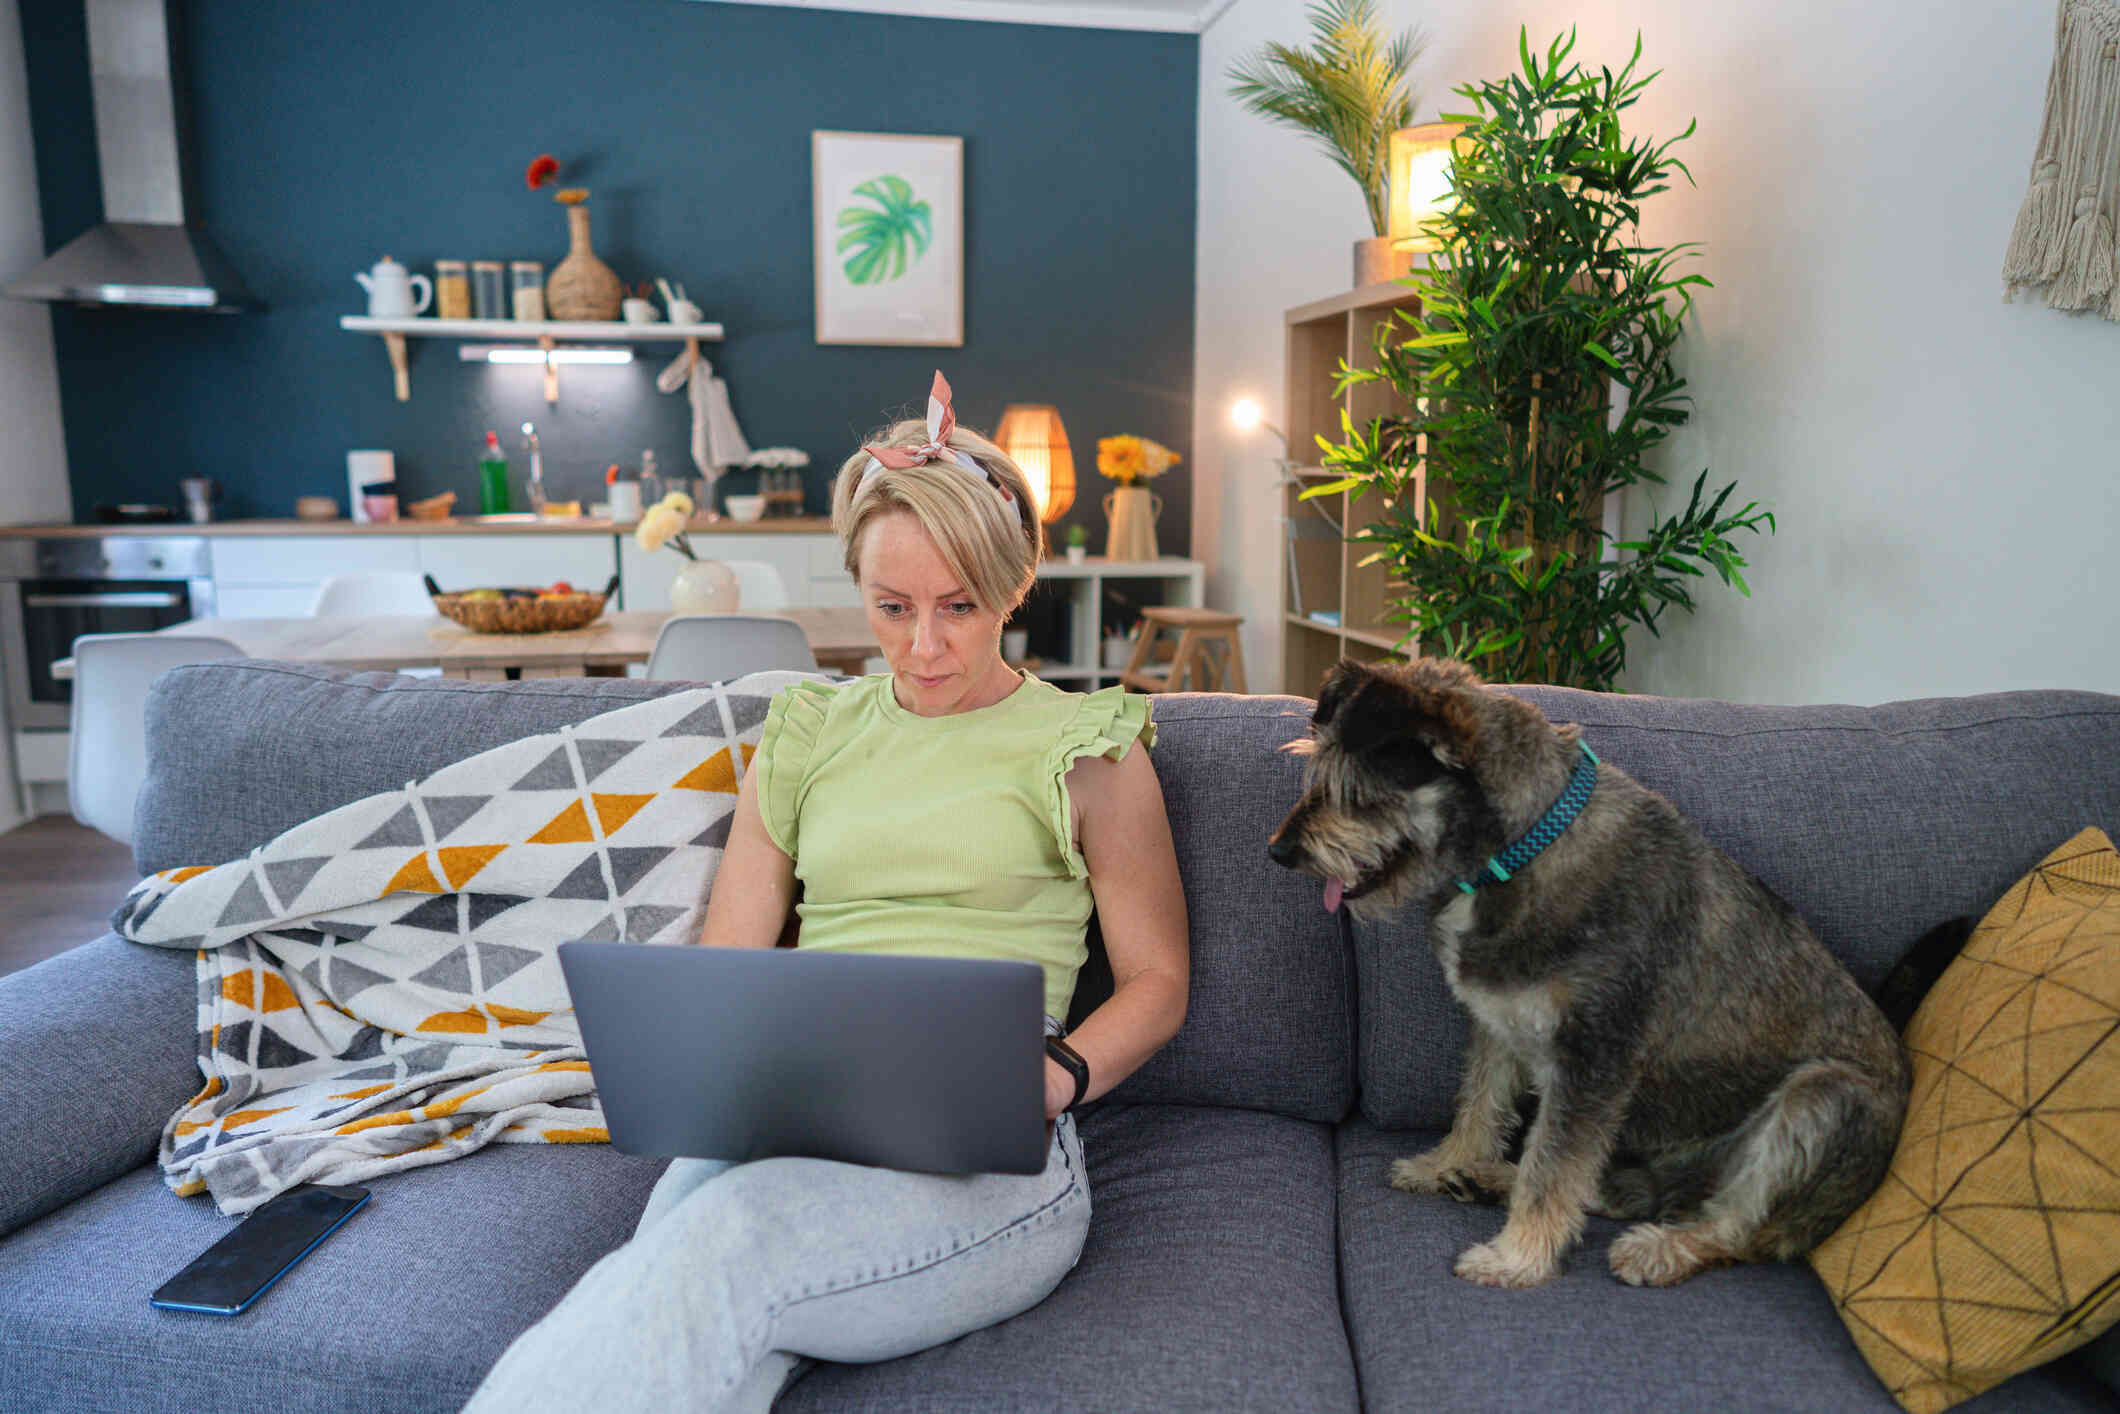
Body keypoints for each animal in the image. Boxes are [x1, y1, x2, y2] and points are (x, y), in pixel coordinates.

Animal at [1263, 657, 1916, 1288]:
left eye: (1356, 790)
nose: (1279, 851)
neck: (1523, 849)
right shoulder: (1499, 1025)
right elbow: (1482, 1106)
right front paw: (1447, 1162)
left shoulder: (1593, 1061)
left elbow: (1554, 1165)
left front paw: (1518, 1259)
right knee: (1616, 1190)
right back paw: (1490, 1177)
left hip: (1823, 1100)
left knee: (1739, 1229)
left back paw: (1662, 1250)